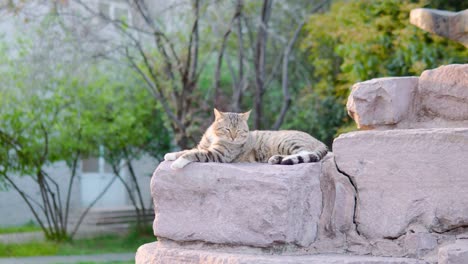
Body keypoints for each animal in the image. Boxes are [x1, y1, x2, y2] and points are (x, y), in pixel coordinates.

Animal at [166, 109, 328, 169]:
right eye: (227, 129)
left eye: (238, 131)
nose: (233, 137)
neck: (214, 137)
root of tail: (320, 142)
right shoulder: (203, 147)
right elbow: (186, 150)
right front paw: (170, 155)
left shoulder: (217, 154)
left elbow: (192, 153)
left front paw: (177, 163)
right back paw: (276, 159)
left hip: (287, 142)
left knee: (306, 153)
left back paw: (280, 158)